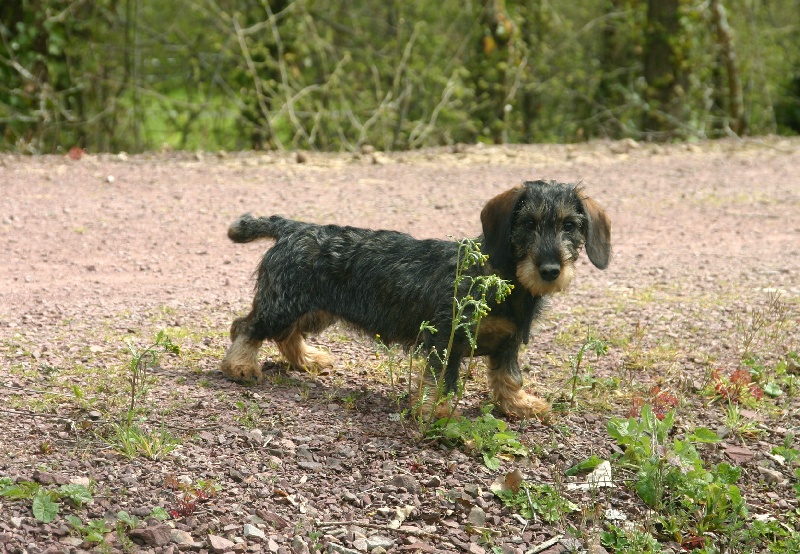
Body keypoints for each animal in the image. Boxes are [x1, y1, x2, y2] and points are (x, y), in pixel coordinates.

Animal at [222, 179, 608, 416]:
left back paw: (307, 359)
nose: (550, 270)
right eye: (528, 223)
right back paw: (240, 365)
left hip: (314, 309)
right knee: (246, 326)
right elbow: (443, 382)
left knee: (286, 335)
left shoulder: (508, 343)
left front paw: (519, 404)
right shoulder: (446, 340)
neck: (502, 277)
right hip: (284, 304)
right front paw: (436, 412)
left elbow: (509, 377)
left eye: (569, 225)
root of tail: (293, 227)